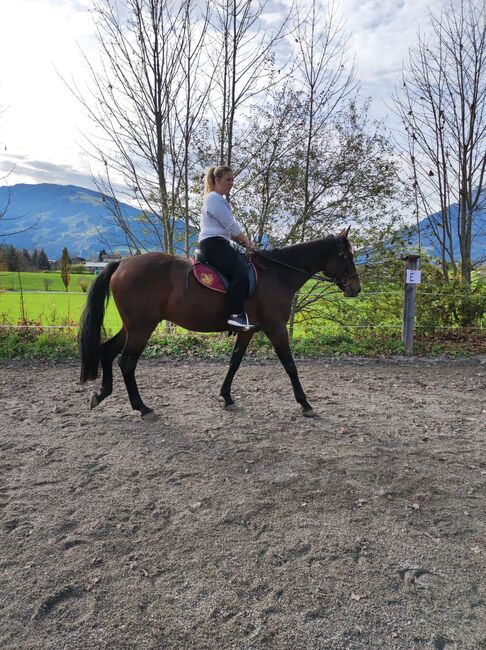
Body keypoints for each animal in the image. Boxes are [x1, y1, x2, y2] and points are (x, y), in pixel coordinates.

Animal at [79, 228, 360, 418]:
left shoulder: (248, 330)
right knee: (126, 362)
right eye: (345, 255)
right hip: (142, 327)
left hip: (132, 327)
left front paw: (226, 396)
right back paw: (142, 407)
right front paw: (305, 404)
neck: (277, 274)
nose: (356, 288)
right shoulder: (276, 328)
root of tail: (122, 263)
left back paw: (101, 394)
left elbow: (235, 362)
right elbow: (290, 366)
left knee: (107, 351)